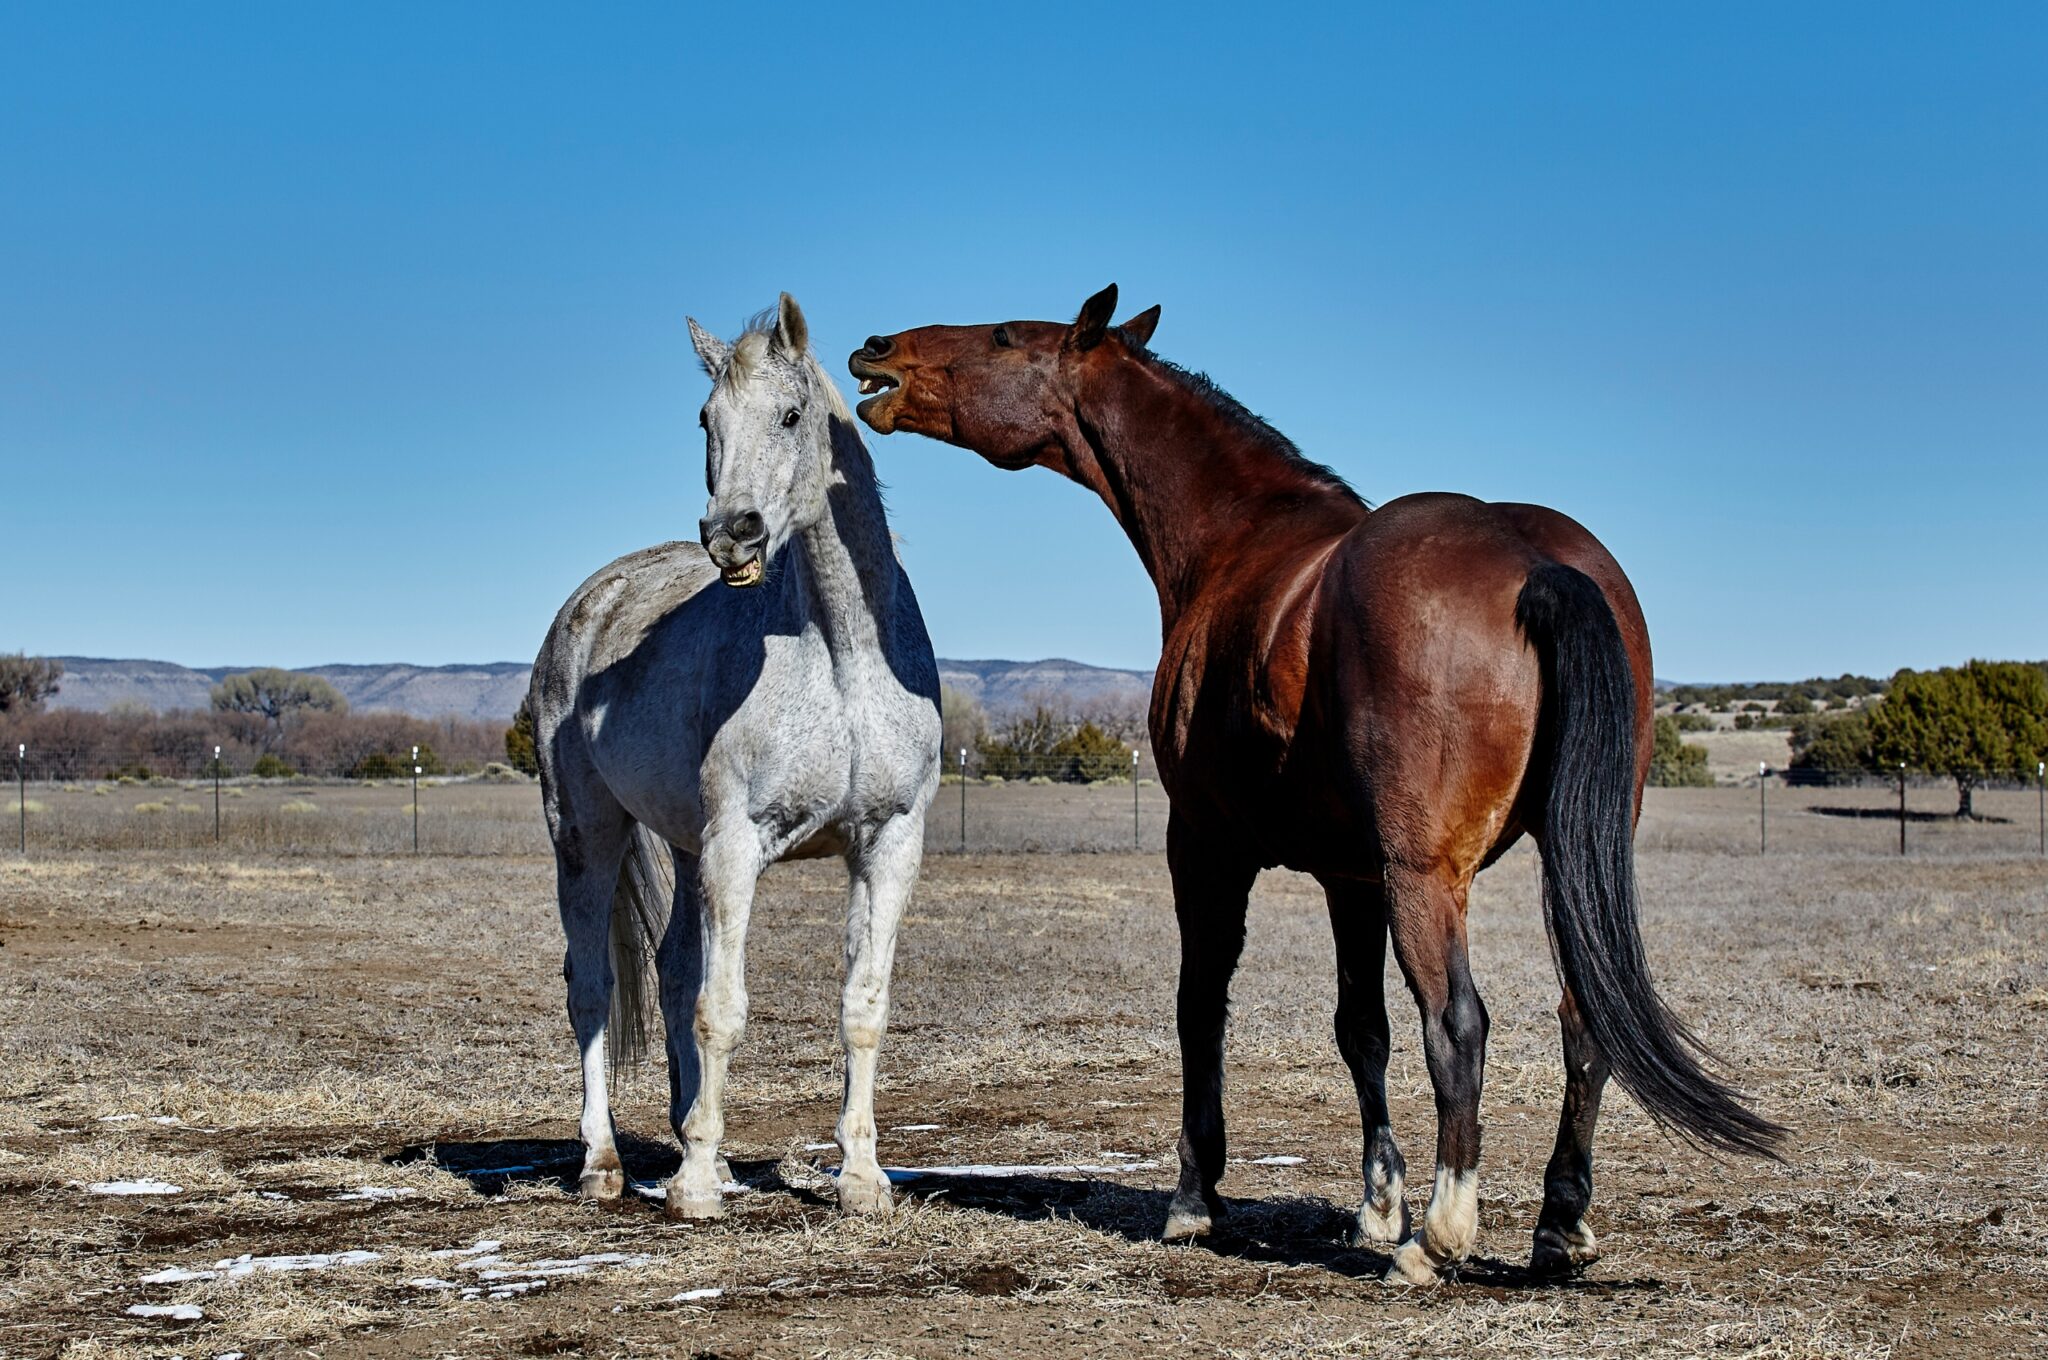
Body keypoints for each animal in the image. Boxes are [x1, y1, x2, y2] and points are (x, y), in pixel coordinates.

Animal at [531, 294, 942, 1220]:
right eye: (705, 419)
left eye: (790, 415)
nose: (732, 535)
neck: (842, 656)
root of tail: (588, 602)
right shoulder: (735, 845)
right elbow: (722, 1010)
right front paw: (690, 1190)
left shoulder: (889, 843)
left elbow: (862, 1006)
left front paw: (862, 1180)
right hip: (587, 834)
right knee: (591, 989)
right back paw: (604, 1162)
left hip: (683, 850)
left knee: (671, 971)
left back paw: (702, 1152)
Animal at [847, 285, 1782, 1282]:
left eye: (1004, 336)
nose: (876, 350)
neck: (1240, 540)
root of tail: (1537, 563)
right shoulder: (1351, 877)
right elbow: (1360, 1027)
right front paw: (1375, 1202)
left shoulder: (1205, 846)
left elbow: (1202, 1007)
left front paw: (1196, 1200)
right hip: (1561, 863)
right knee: (1583, 1021)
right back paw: (1558, 1224)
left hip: (1426, 879)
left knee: (1460, 1024)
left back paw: (1438, 1238)